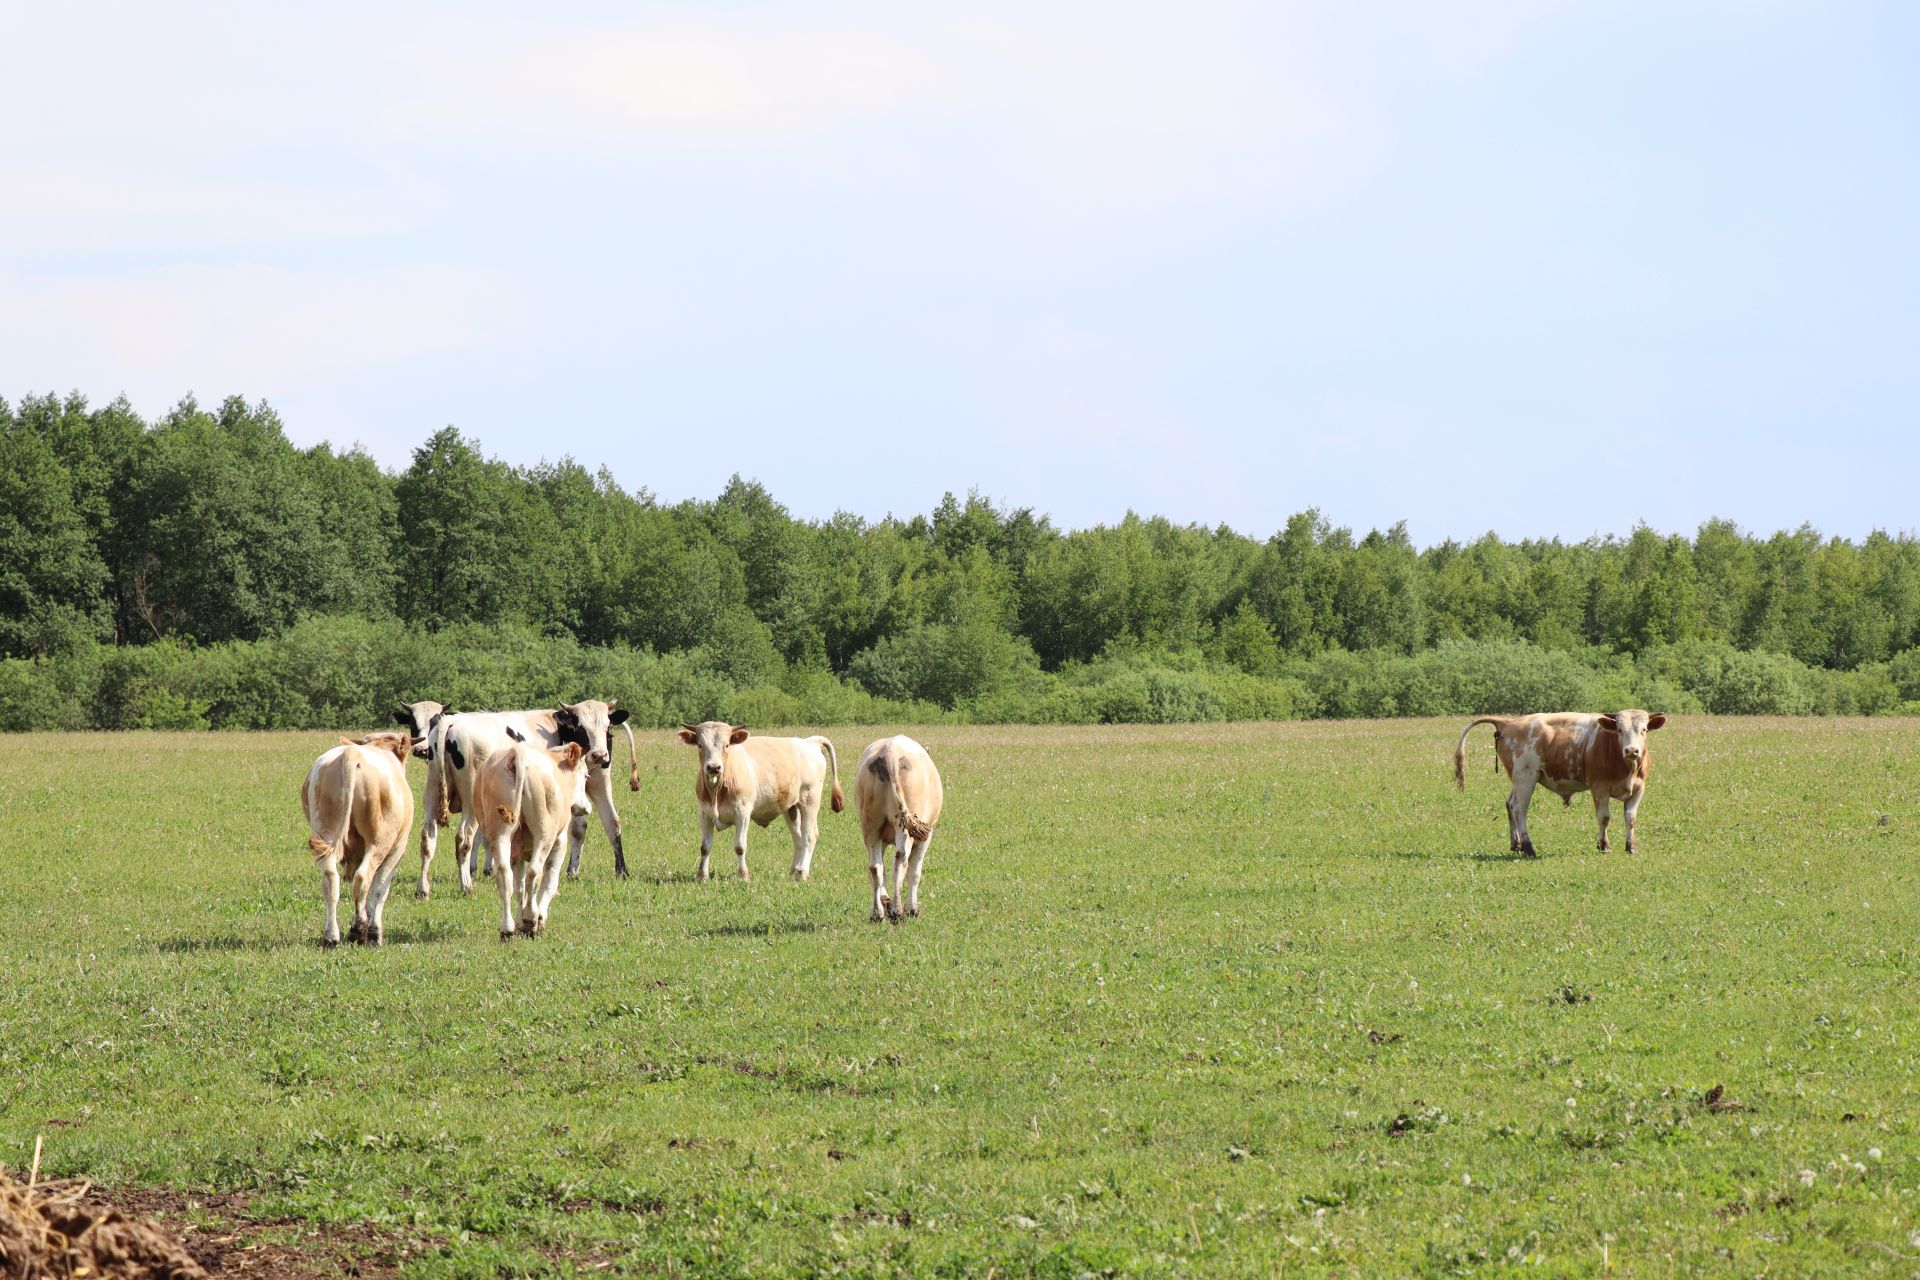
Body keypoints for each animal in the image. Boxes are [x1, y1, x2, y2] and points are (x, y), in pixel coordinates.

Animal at [297, 729, 414, 951]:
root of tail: (352, 753)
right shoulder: (398, 849)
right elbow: (379, 889)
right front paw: (374, 933)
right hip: (380, 842)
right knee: (363, 878)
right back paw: (358, 932)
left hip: (325, 833)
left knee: (330, 880)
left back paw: (331, 937)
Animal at [474, 729, 587, 940]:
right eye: (585, 776)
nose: (585, 807)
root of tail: (517, 753)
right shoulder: (560, 843)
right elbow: (549, 883)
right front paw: (537, 919)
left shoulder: (517, 853)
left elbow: (519, 888)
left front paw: (520, 921)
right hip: (545, 833)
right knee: (535, 872)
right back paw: (531, 919)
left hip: (501, 833)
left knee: (504, 875)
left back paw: (508, 928)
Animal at [683, 721, 848, 882]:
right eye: (700, 745)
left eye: (727, 745)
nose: (713, 767)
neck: (717, 790)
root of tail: (809, 741)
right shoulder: (704, 813)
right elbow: (705, 847)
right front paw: (701, 876)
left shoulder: (743, 813)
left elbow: (740, 846)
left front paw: (743, 875)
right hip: (791, 808)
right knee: (798, 838)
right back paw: (794, 871)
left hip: (810, 801)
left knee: (809, 836)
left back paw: (802, 872)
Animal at [856, 736, 944, 924]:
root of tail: (890, 752)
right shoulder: (926, 837)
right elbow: (915, 872)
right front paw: (912, 908)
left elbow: (881, 871)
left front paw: (884, 900)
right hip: (905, 829)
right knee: (901, 860)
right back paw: (897, 911)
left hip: (871, 826)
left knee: (875, 867)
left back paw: (877, 913)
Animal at [1451, 710, 1666, 859]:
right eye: (1620, 730)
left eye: (1644, 730)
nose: (1632, 750)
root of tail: (1510, 722)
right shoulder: (1599, 788)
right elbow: (1604, 818)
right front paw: (1604, 846)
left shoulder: (1639, 788)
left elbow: (1631, 818)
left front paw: (1631, 847)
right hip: (1525, 777)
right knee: (1520, 809)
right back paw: (1528, 847)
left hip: (1518, 780)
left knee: (1510, 804)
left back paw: (1516, 845)